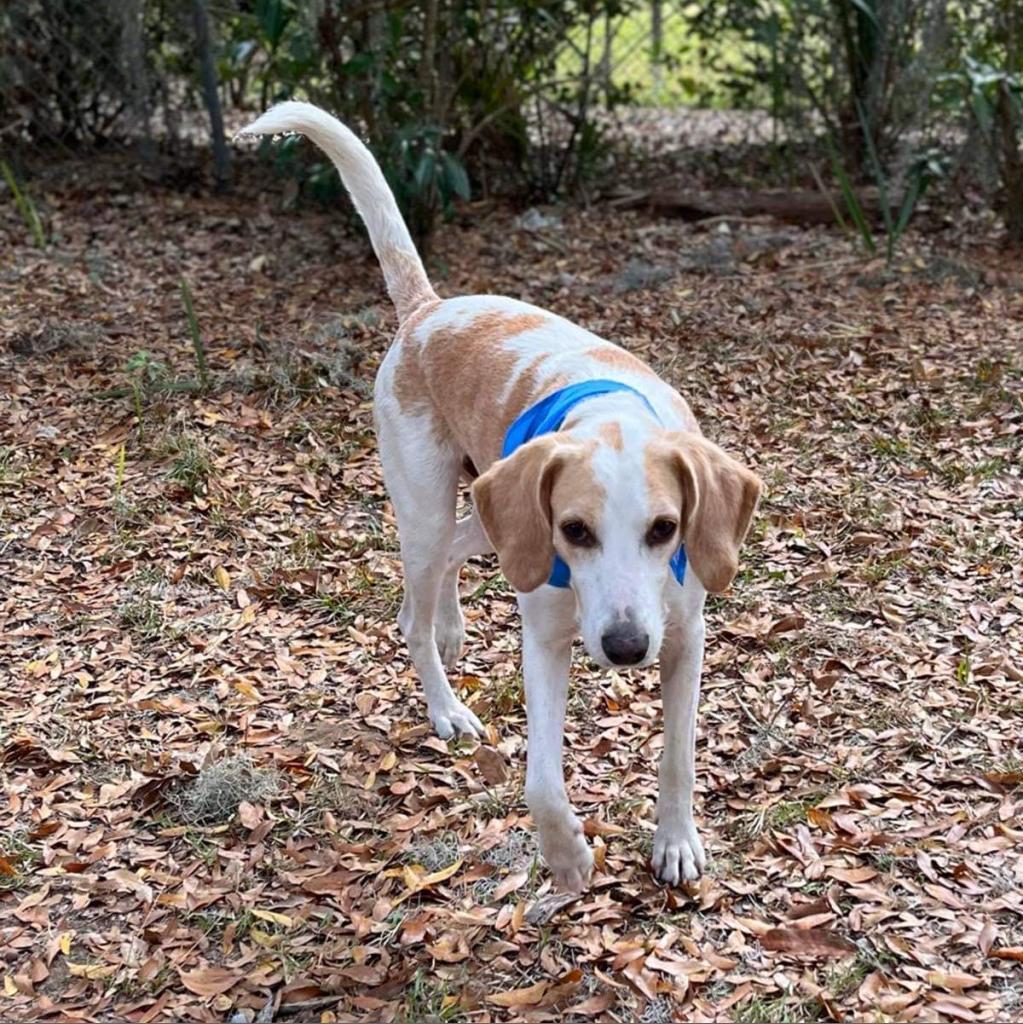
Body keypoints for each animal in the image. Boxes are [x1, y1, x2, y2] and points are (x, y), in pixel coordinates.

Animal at [239, 99, 765, 892]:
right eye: (576, 531)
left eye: (665, 529)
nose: (625, 647)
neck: (611, 414)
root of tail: (426, 311)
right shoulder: (545, 632)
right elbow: (541, 782)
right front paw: (567, 855)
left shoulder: (685, 635)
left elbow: (677, 754)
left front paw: (675, 840)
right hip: (430, 511)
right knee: (412, 610)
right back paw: (446, 703)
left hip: (494, 510)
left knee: (455, 555)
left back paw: (453, 625)